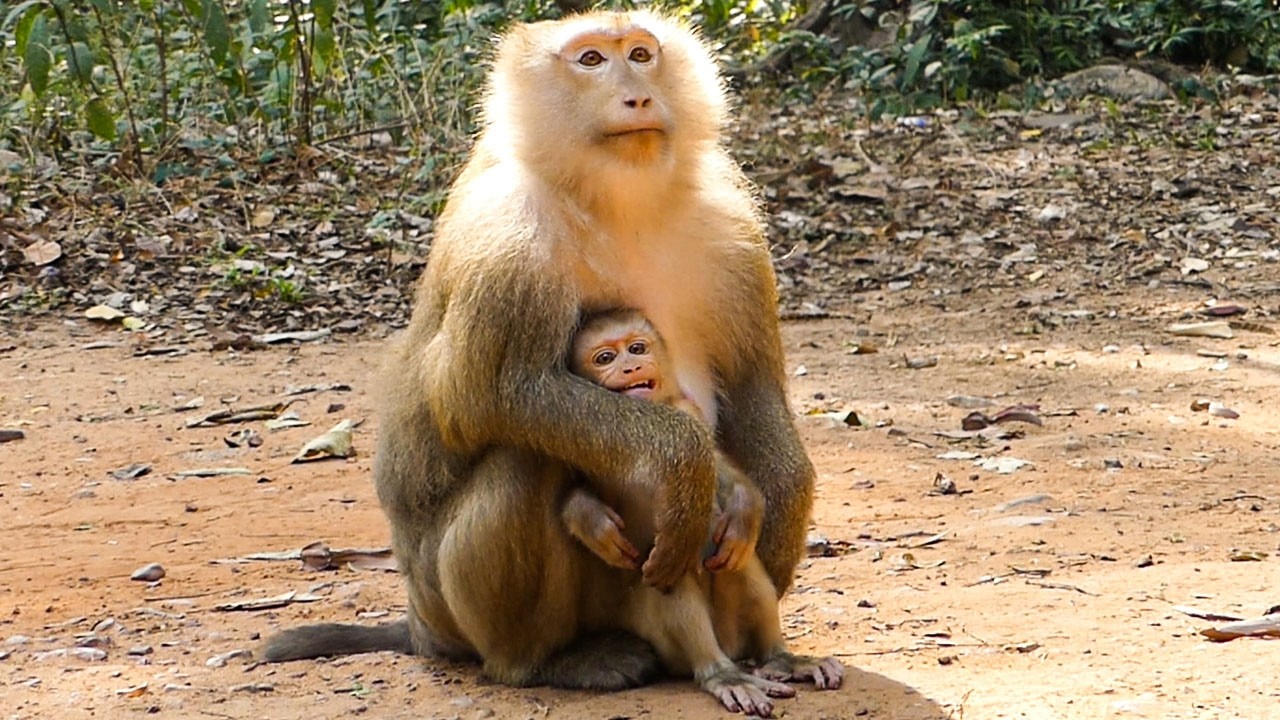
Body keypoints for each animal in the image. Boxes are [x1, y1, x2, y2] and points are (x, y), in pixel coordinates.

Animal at [560, 308, 843, 714]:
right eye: (605, 358)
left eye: (637, 348)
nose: (632, 367)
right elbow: (575, 488)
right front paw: (590, 522)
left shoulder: (686, 407)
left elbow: (717, 467)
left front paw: (743, 507)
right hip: (661, 633)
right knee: (675, 579)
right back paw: (720, 673)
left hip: (731, 622)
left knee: (741, 567)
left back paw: (779, 658)